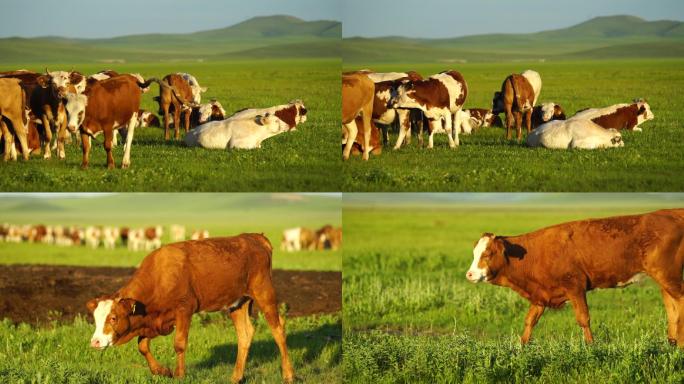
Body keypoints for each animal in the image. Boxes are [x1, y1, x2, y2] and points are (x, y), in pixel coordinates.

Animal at [85, 234, 294, 380]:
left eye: (113, 317)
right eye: (95, 319)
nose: (95, 342)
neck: (160, 277)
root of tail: (255, 237)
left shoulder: (184, 309)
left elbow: (179, 344)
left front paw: (179, 374)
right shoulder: (152, 320)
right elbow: (143, 346)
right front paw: (162, 371)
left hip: (265, 293)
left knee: (278, 330)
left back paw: (288, 374)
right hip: (238, 303)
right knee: (245, 334)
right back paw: (236, 377)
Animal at [464, 208, 684, 346]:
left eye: (487, 254)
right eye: (474, 253)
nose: (470, 274)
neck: (534, 254)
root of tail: (671, 212)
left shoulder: (575, 287)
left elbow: (583, 319)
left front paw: (591, 347)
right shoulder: (541, 295)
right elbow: (529, 322)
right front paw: (520, 348)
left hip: (669, 276)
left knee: (679, 302)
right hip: (664, 280)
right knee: (672, 309)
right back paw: (672, 343)